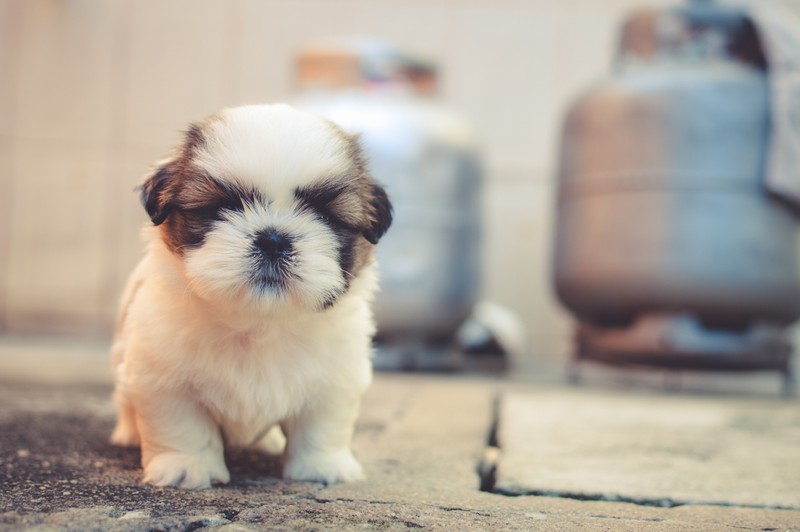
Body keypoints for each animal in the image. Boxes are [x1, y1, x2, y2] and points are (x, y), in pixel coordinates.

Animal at [107, 102, 394, 488]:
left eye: (325, 216)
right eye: (221, 207)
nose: (272, 239)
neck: (259, 323)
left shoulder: (336, 378)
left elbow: (323, 425)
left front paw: (322, 466)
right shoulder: (162, 377)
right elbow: (181, 426)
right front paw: (187, 466)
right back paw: (127, 432)